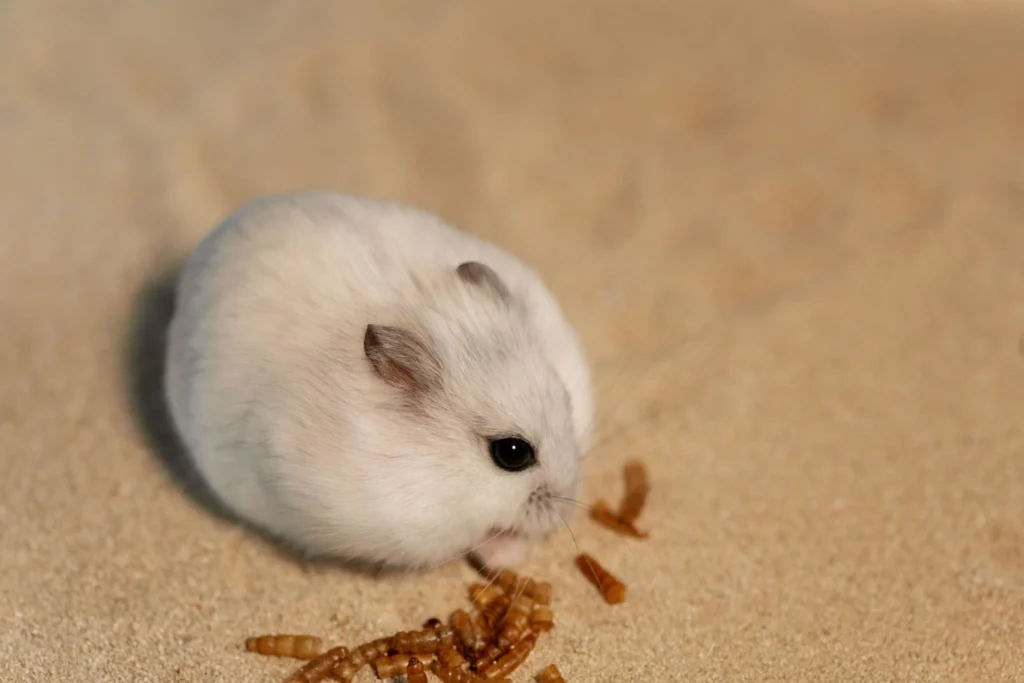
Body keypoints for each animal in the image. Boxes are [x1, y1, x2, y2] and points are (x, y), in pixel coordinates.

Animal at [164, 192, 593, 571]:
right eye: (512, 453)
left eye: (567, 404)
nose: (566, 506)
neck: (443, 466)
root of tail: (212, 241)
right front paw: (508, 556)